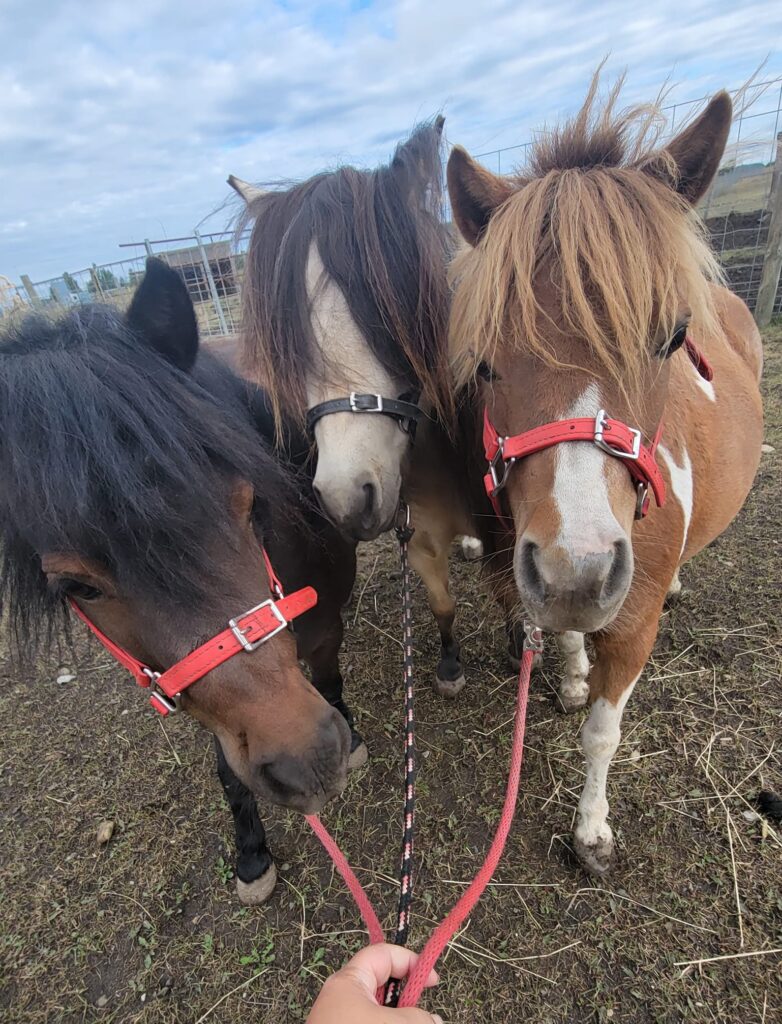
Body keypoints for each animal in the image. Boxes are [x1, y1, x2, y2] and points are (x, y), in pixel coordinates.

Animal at [0, 258, 363, 904]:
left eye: (250, 505)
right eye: (76, 587)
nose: (308, 761)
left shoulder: (322, 631)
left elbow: (329, 675)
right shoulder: (205, 693)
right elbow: (229, 766)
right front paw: (251, 852)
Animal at [446, 77, 764, 873]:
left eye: (673, 339)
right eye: (486, 360)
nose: (577, 569)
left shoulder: (634, 624)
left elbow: (601, 733)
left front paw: (591, 828)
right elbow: (565, 637)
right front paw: (568, 677)